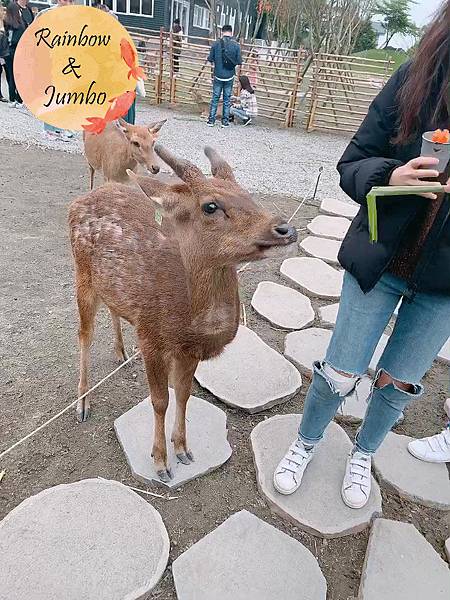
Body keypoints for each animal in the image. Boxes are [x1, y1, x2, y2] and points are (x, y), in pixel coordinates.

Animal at [68, 146, 298, 482]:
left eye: (247, 193)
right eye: (210, 206)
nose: (285, 228)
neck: (190, 323)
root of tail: (80, 200)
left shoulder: (188, 351)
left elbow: (183, 394)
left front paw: (183, 449)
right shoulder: (150, 337)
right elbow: (160, 401)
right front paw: (161, 462)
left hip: (111, 288)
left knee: (113, 310)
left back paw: (121, 353)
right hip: (81, 274)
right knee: (84, 334)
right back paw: (83, 403)